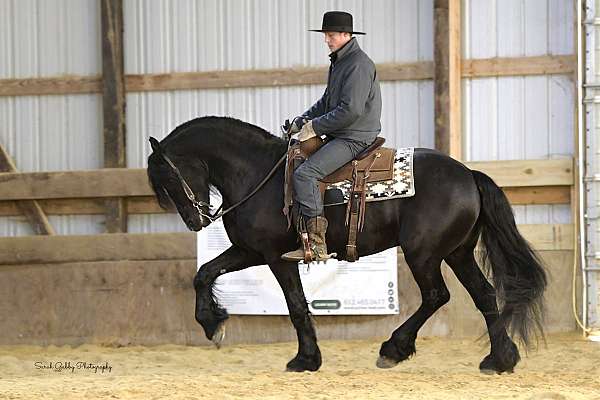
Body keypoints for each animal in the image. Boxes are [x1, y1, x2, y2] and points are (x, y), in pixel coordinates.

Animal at [148, 115, 548, 372]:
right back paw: (500, 359)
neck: (256, 173)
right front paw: (211, 323)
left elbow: (296, 305)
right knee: (484, 295)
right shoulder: (250, 251)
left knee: (437, 296)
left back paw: (394, 349)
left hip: (424, 254)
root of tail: (468, 174)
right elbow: (203, 273)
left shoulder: (277, 257)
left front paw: (305, 359)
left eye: (169, 177)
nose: (196, 221)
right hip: (457, 253)